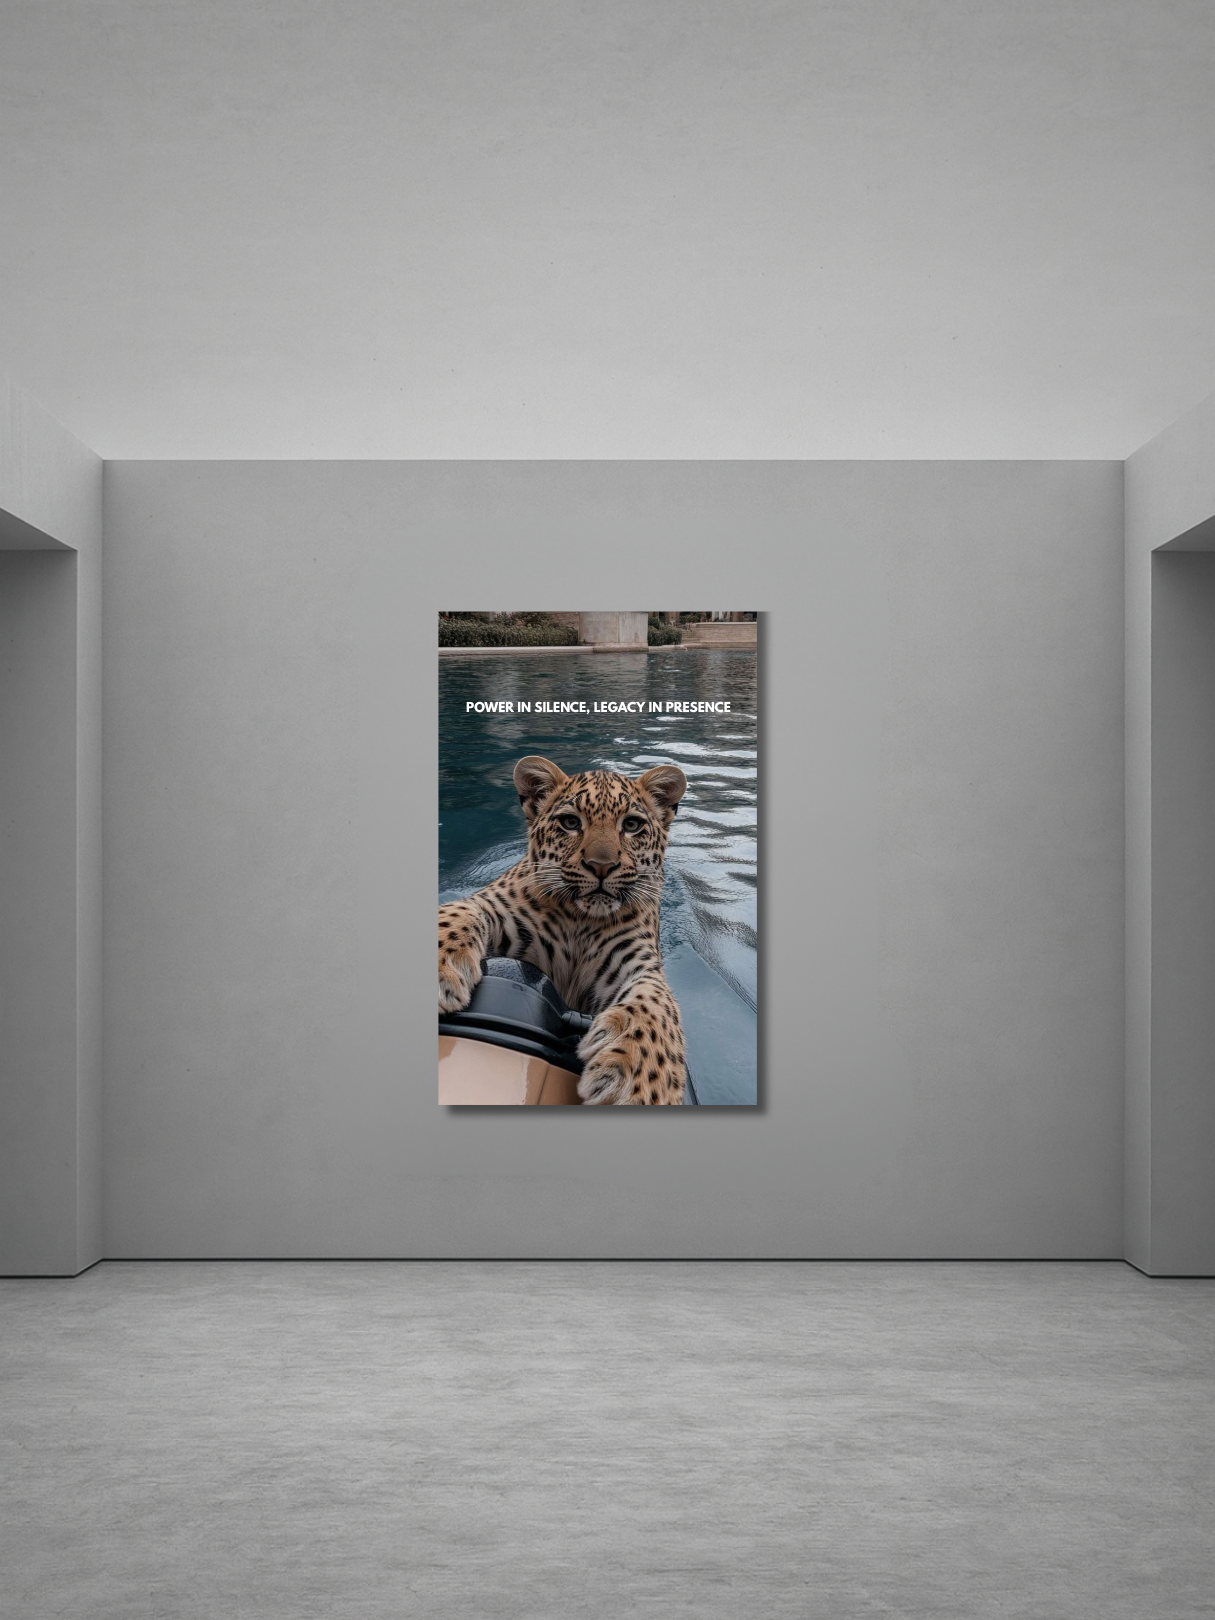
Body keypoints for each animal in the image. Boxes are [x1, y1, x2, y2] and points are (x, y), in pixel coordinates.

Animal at [438, 755, 689, 1104]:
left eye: (631, 825)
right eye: (570, 823)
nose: (601, 866)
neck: (581, 921)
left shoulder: (637, 960)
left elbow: (658, 1003)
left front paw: (639, 1081)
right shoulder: (496, 908)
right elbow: (460, 911)